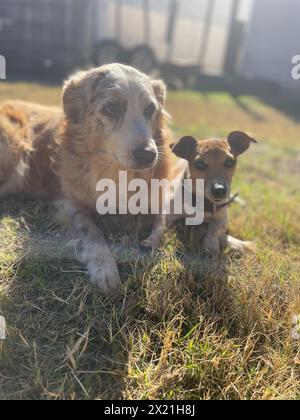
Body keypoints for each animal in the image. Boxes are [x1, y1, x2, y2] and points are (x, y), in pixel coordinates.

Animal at [0, 64, 173, 294]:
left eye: (150, 109)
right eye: (111, 108)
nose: (148, 155)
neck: (115, 173)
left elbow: (161, 220)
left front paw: (150, 241)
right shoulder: (68, 202)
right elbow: (91, 231)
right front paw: (104, 266)